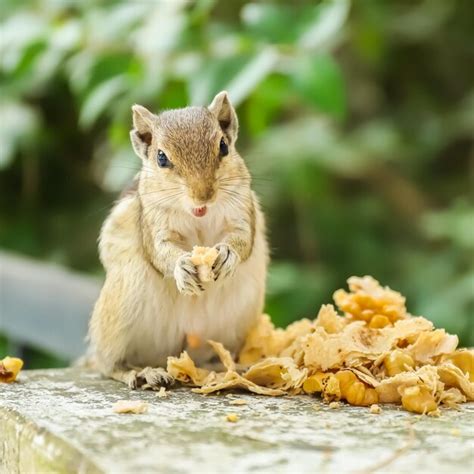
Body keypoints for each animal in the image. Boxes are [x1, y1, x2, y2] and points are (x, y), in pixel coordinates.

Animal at [87, 91, 268, 388]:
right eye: (161, 158)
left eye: (223, 146)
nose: (203, 195)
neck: (199, 214)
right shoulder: (152, 222)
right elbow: (160, 251)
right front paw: (181, 266)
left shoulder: (242, 210)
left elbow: (243, 238)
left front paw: (228, 254)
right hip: (118, 313)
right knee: (108, 364)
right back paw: (140, 372)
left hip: (237, 321)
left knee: (211, 358)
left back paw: (236, 368)